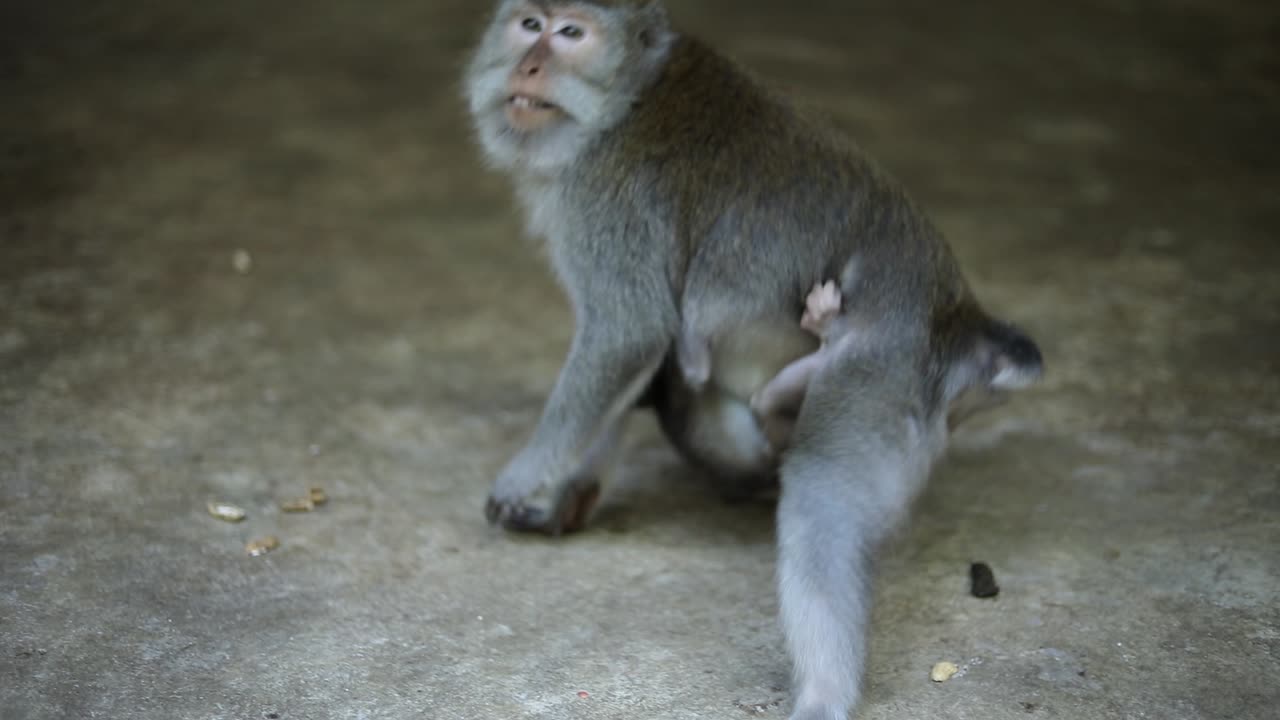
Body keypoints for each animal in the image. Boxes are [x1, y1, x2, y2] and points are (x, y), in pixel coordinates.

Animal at [462, 2, 1044, 719]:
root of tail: (961, 316)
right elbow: (636, 368)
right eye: (528, 24)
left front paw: (522, 480)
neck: (624, 105)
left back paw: (824, 694)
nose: (529, 66)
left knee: (823, 502)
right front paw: (559, 500)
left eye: (571, 33)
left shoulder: (610, 204)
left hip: (885, 364)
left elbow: (627, 333)